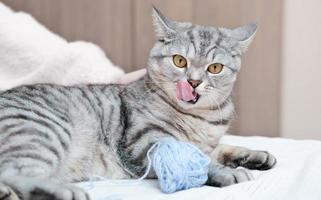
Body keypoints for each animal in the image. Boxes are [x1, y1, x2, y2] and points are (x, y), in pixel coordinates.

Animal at [0, 6, 276, 200]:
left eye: (215, 68)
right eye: (179, 61)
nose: (193, 81)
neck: (201, 118)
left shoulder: (205, 143)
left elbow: (222, 148)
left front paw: (255, 155)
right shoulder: (146, 140)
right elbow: (200, 162)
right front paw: (229, 172)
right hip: (44, 131)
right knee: (13, 172)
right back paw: (61, 191)